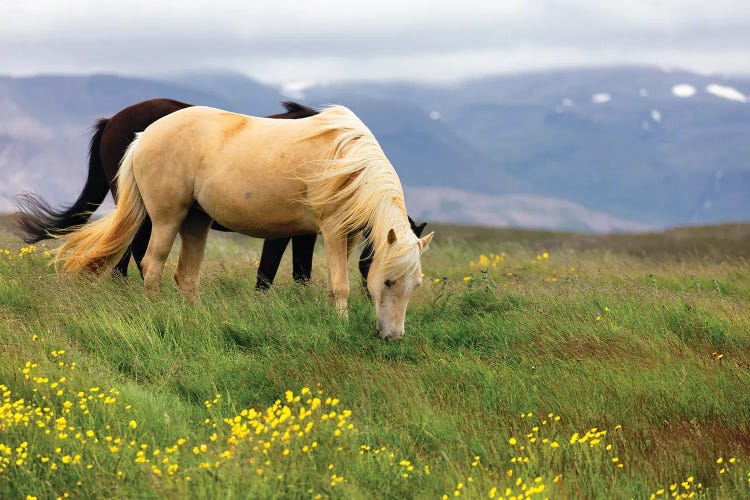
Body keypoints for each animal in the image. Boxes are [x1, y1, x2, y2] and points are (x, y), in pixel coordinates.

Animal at [53, 105, 434, 340]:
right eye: (388, 281)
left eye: (416, 285)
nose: (393, 336)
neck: (349, 162)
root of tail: (143, 135)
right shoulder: (331, 231)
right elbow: (339, 286)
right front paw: (340, 326)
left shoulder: (348, 236)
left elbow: (329, 283)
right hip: (166, 218)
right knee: (151, 265)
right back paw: (156, 312)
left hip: (196, 221)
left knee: (185, 276)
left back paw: (197, 319)